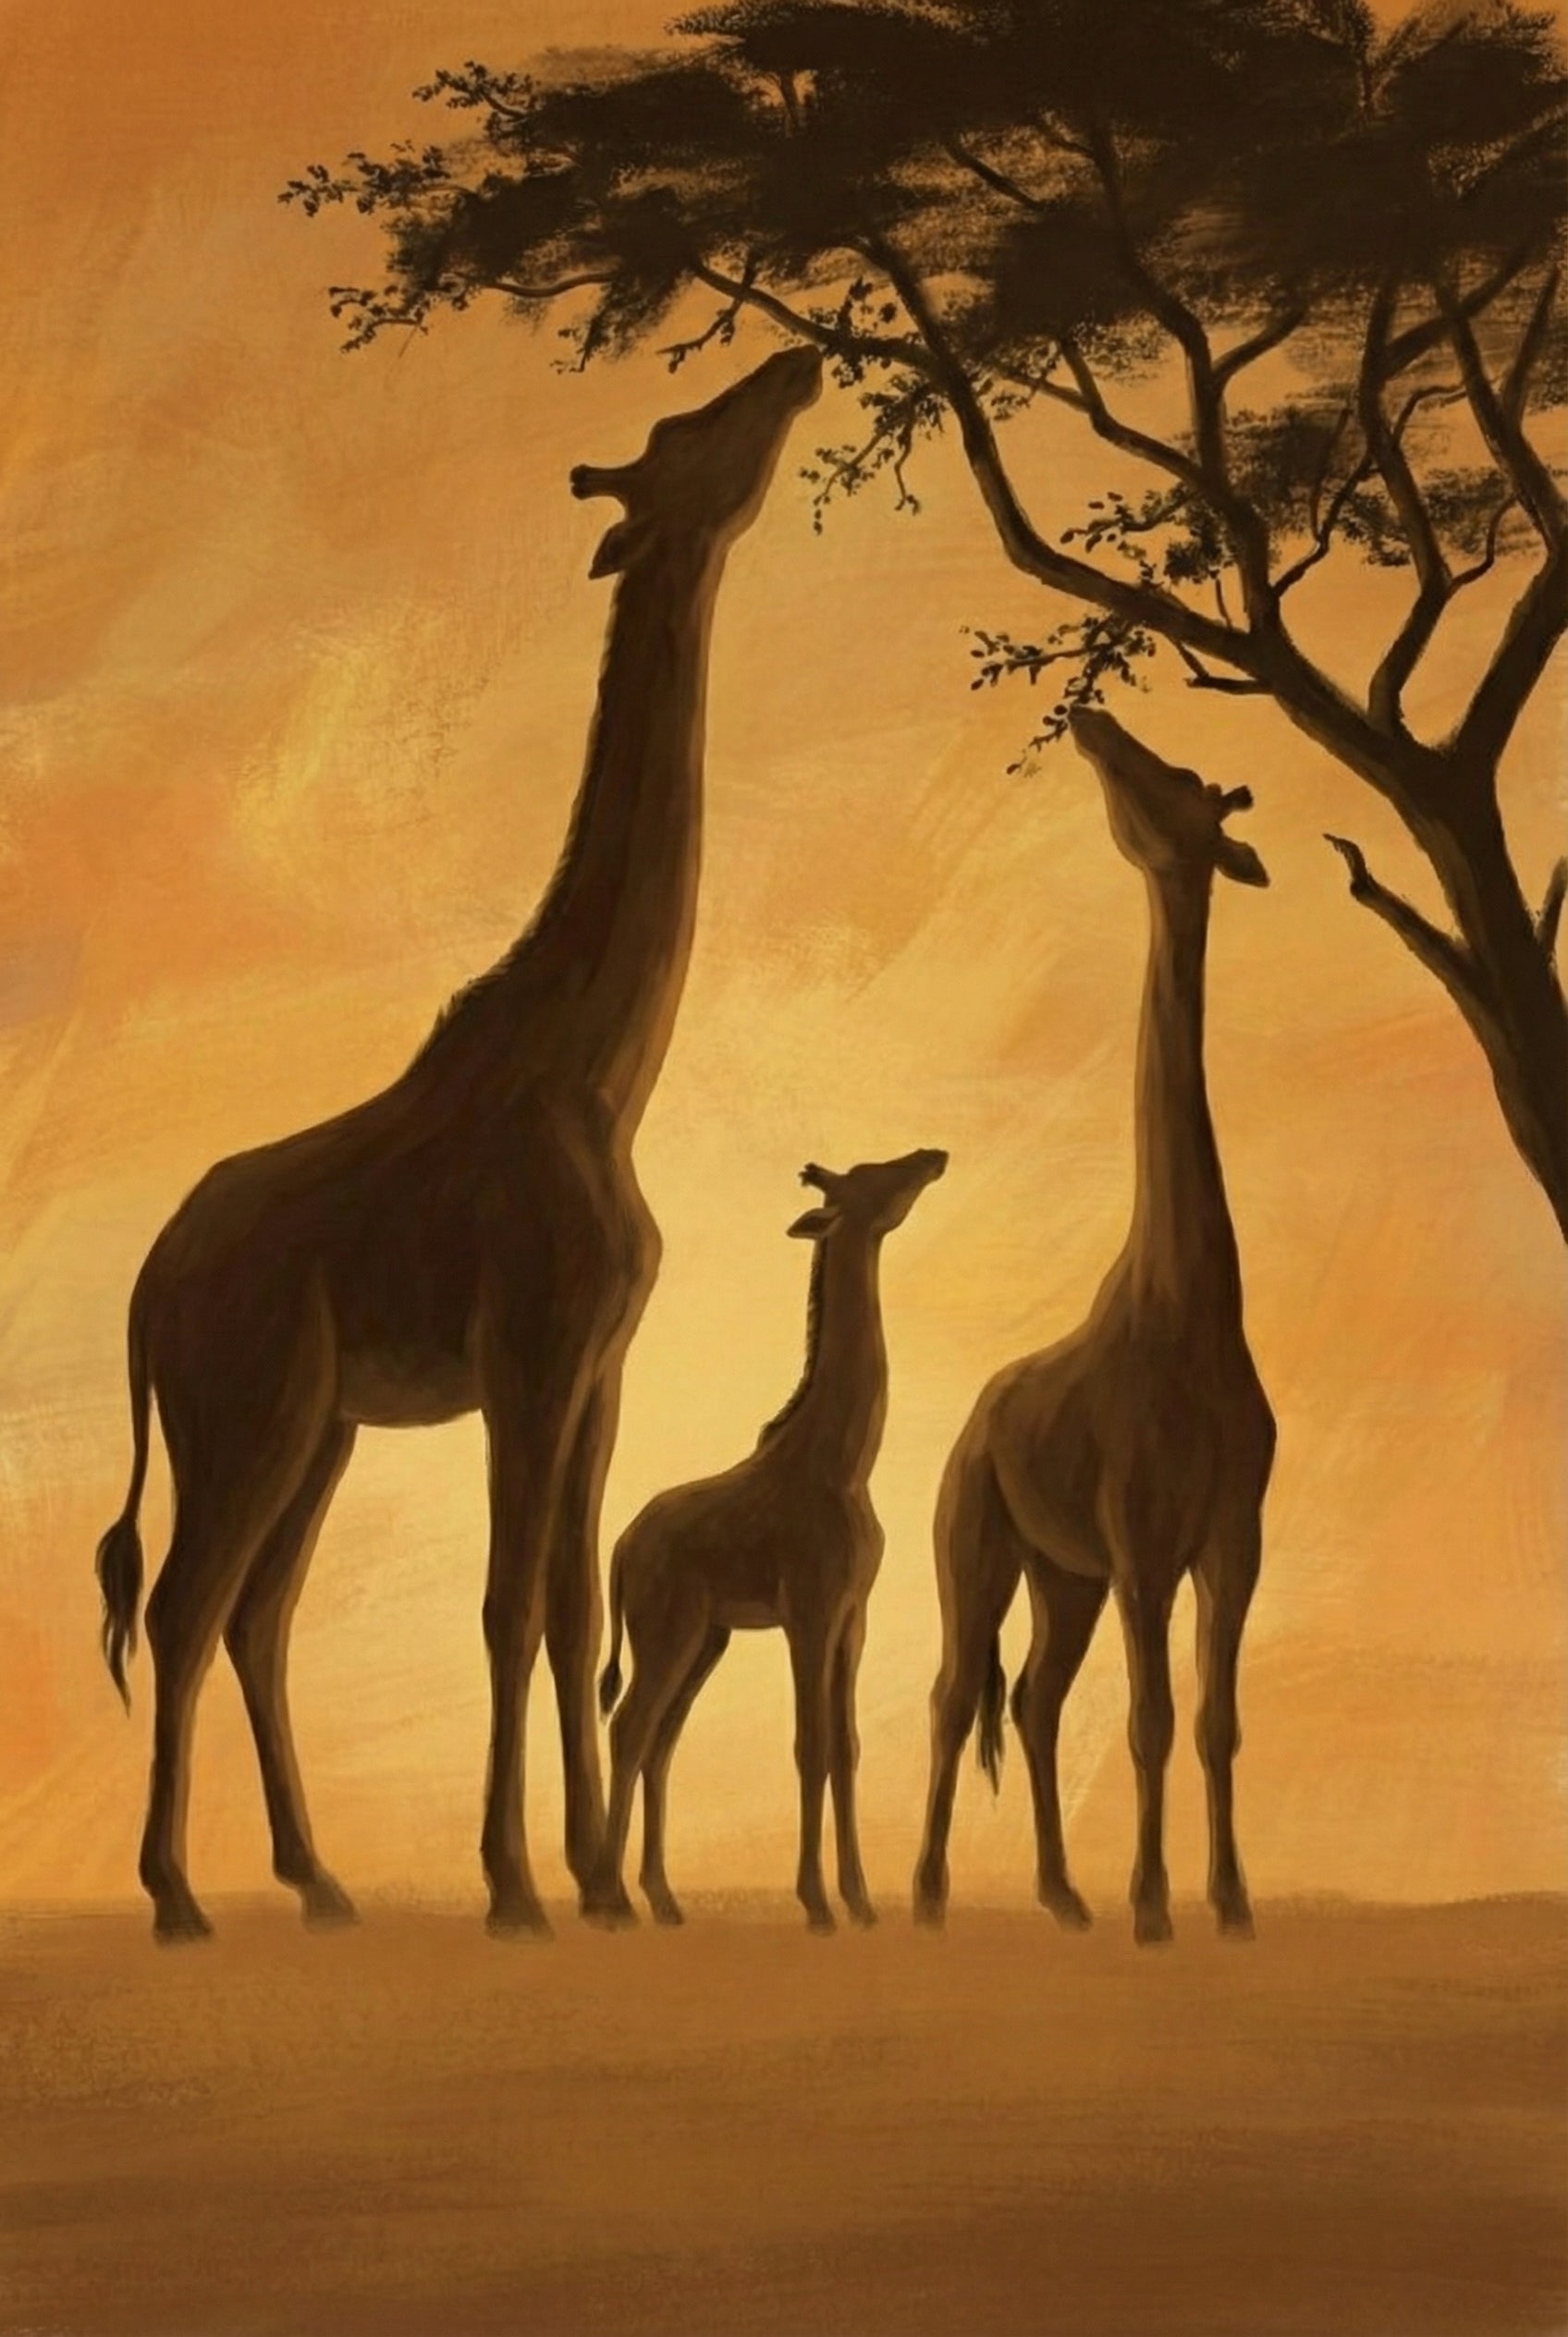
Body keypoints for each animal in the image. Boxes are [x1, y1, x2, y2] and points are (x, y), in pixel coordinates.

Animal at [93, 345, 823, 1941]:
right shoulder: (532, 1357)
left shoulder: (600, 1369)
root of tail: (148, 1284)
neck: (602, 1072)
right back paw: (176, 1897)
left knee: (255, 1614)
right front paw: (517, 1886)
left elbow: (572, 1607)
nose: (798, 364)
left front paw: (600, 1883)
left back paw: (319, 1882)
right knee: (184, 1605)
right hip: (247, 1409)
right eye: (682, 428)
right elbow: (504, 1604)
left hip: (319, 1425)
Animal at [582, 1148, 947, 1933]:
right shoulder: (808, 1612)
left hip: (706, 1639)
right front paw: (816, 1904)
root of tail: (621, 1550)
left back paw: (661, 1898)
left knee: (659, 1743)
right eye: (871, 1175)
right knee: (630, 1728)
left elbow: (847, 1748)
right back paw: (609, 1899)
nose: (932, 1157)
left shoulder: (852, 1617)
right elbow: (810, 1747)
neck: (843, 1464)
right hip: (667, 1631)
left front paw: (862, 1901)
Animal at [913, 706, 1276, 1946]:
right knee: (952, 1694)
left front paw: (1228, 1901)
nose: (1093, 717)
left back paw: (1062, 1895)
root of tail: (974, 1415)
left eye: (1182, 781)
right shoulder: (1140, 1541)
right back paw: (929, 1895)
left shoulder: (1228, 1537)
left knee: (1027, 1700)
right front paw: (1155, 1905)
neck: (1189, 1309)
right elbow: (1151, 1719)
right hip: (976, 1542)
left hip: (1061, 1575)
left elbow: (1212, 1720)